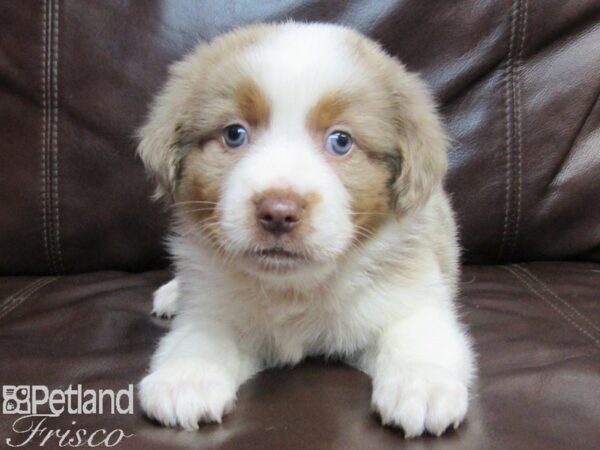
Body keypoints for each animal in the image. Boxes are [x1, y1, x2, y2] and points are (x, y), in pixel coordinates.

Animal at [136, 22, 474, 438]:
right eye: (234, 134)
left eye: (341, 141)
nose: (278, 213)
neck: (293, 288)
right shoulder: (212, 305)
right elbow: (200, 337)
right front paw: (187, 378)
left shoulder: (411, 297)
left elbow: (416, 336)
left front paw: (422, 385)